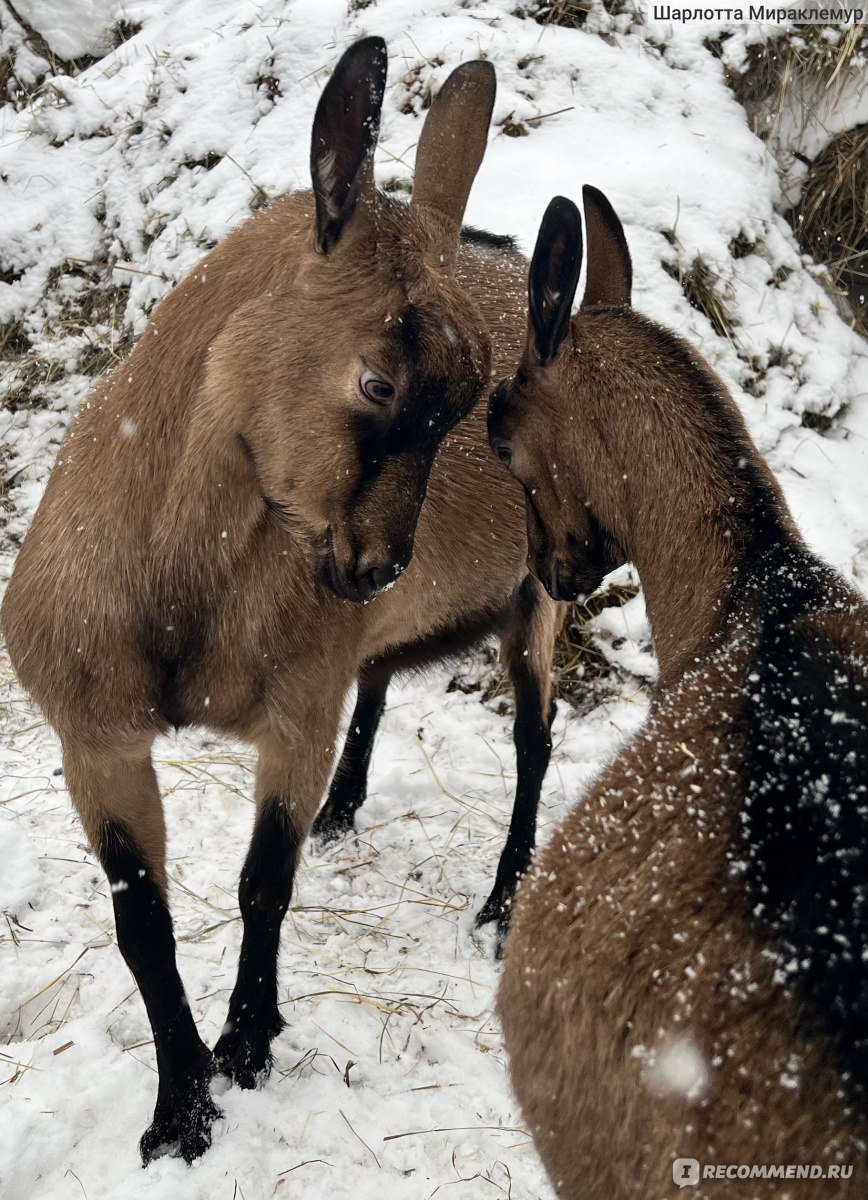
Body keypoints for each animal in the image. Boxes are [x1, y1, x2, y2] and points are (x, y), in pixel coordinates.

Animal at [0, 44, 564, 1161]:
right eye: (380, 382)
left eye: (467, 402)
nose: (379, 565)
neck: (180, 596)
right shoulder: (95, 735)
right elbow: (142, 921)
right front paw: (179, 1112)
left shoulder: (296, 711)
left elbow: (265, 883)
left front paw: (246, 1047)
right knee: (384, 686)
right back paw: (349, 810)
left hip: (543, 595)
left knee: (533, 738)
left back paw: (499, 902)